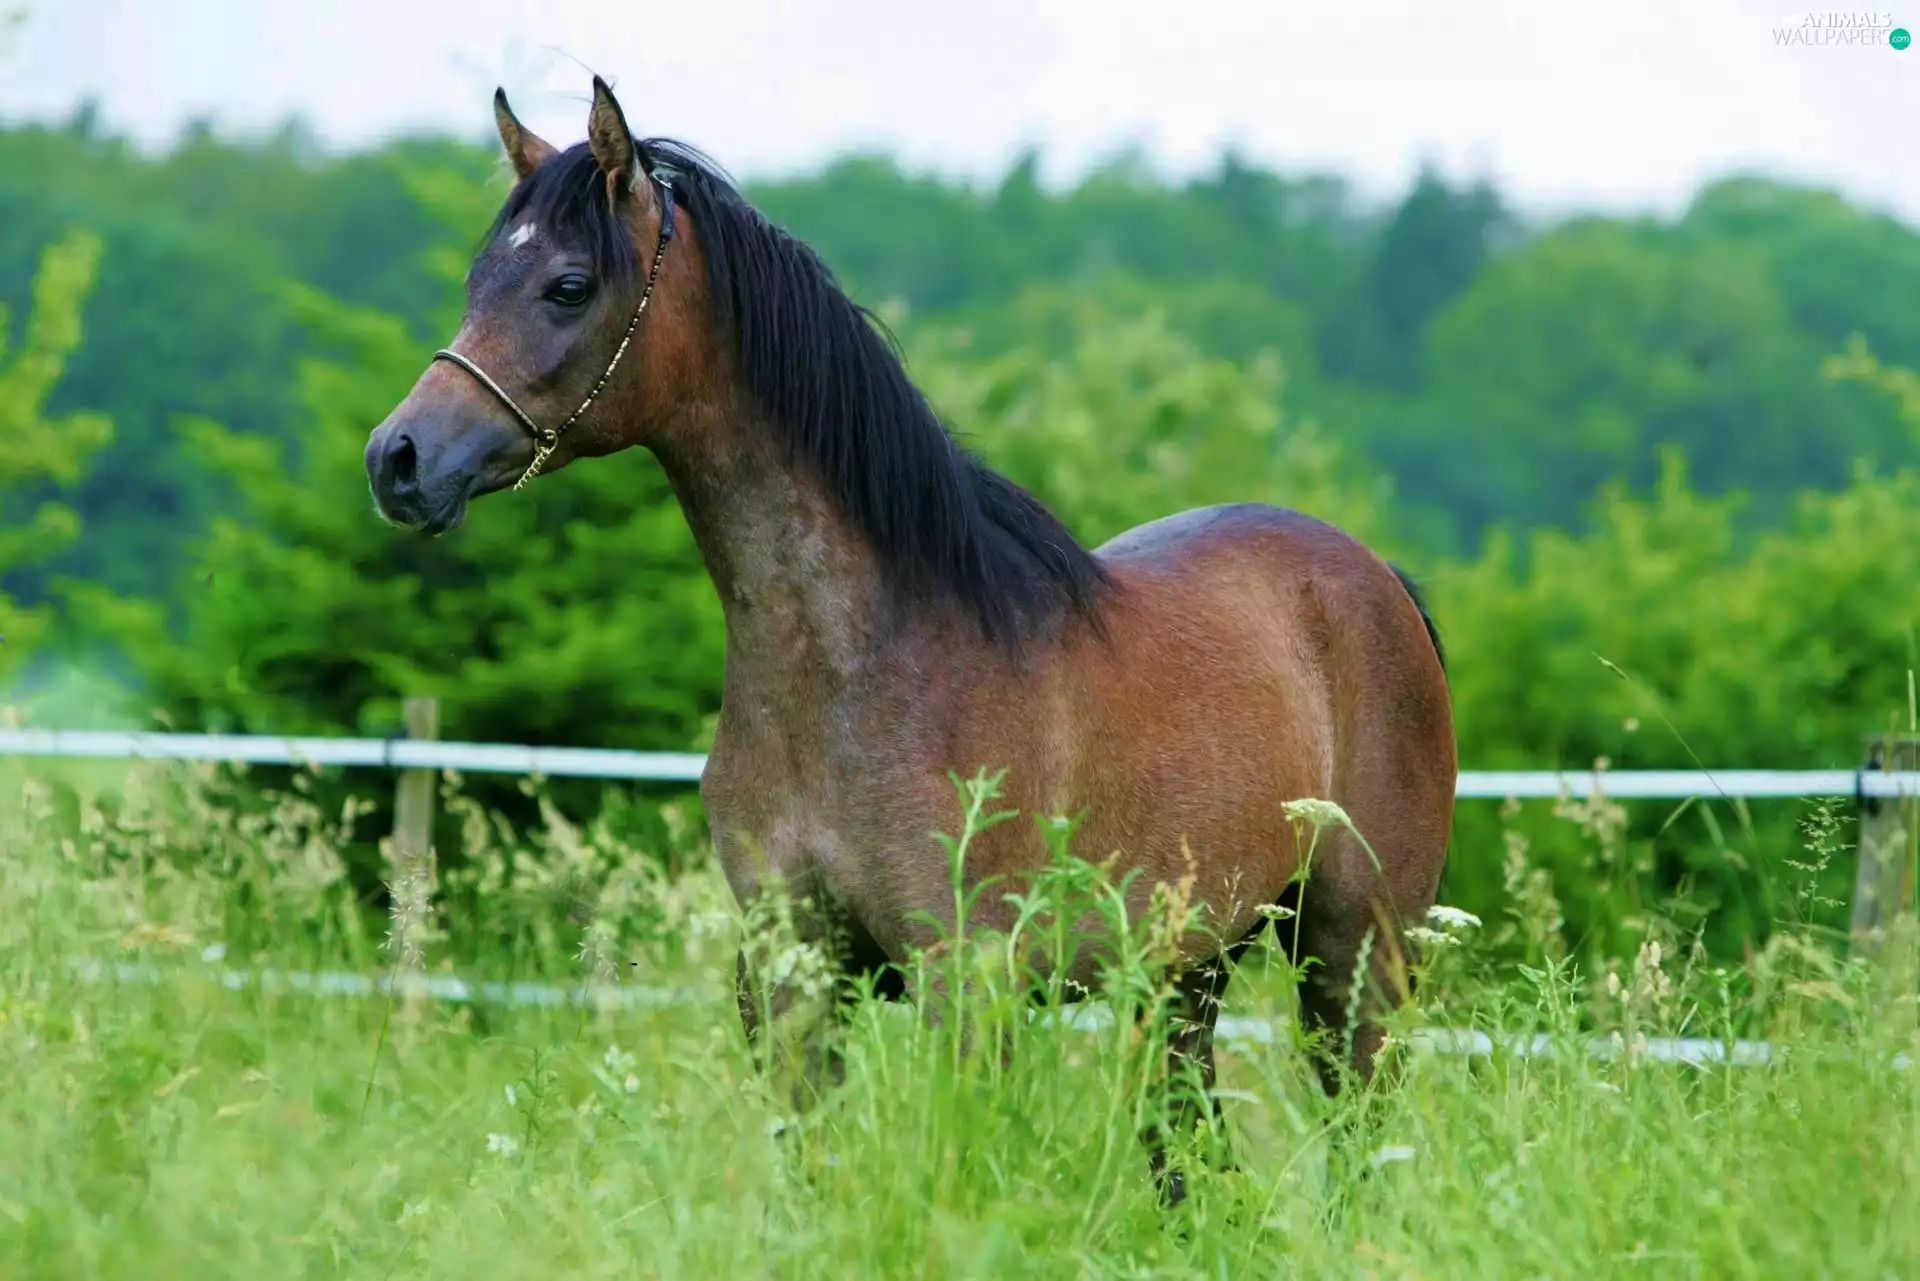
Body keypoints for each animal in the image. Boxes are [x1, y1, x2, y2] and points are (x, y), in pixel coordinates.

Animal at [364, 78, 1457, 1205]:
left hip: (1356, 953)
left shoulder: (966, 983)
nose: (399, 459)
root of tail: (1377, 577)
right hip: (1187, 974)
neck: (859, 664)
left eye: (570, 285)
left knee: (1360, 1140)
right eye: (479, 278)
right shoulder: (792, 977)